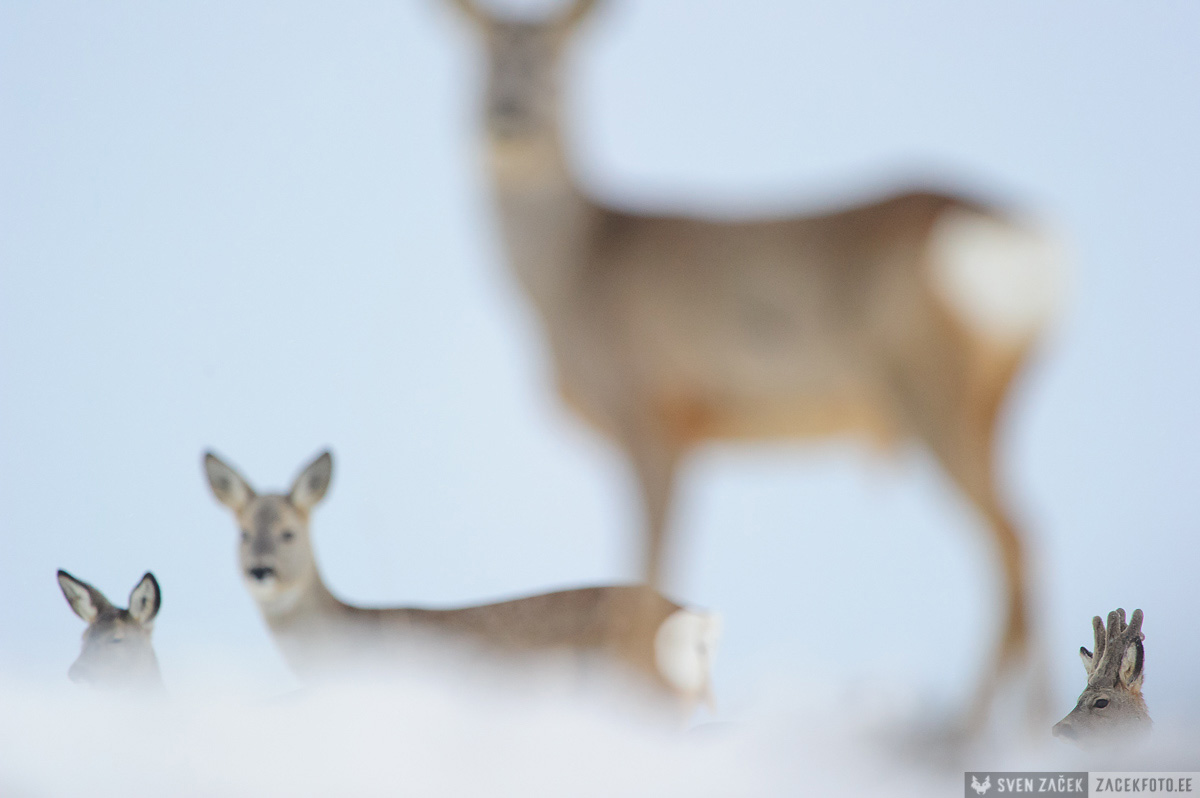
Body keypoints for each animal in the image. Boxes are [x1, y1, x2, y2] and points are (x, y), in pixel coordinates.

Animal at [446, 0, 1065, 715]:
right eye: (477, 57)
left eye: (558, 65)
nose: (506, 115)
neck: (575, 272)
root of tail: (1018, 236)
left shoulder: (651, 410)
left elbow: (649, 564)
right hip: (997, 392)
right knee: (1022, 544)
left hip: (931, 382)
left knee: (1016, 540)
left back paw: (986, 721)